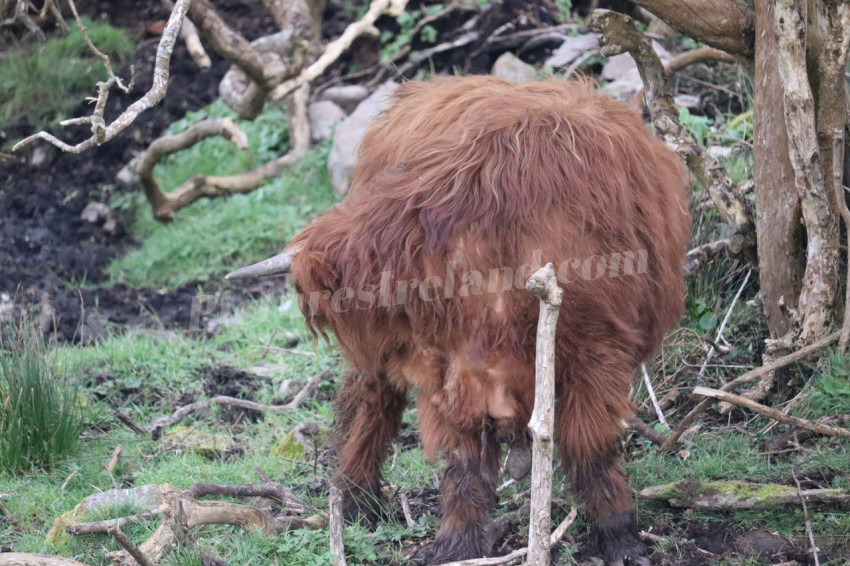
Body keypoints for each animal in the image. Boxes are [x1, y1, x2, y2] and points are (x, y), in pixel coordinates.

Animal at [227, 75, 690, 565]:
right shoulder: (461, 375)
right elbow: (467, 464)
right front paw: (456, 544)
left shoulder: (596, 353)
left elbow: (591, 446)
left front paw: (621, 537)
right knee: (372, 403)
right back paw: (354, 500)